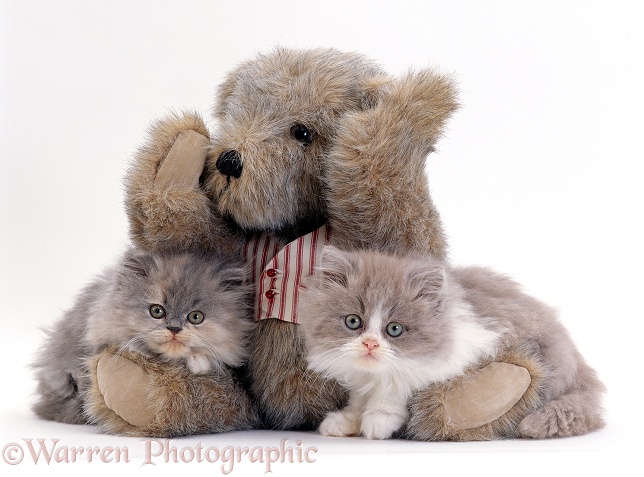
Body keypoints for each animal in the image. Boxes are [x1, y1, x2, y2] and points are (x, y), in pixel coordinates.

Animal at [300, 247, 608, 440]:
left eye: (394, 329)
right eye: (353, 322)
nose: (370, 345)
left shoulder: (461, 352)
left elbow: (396, 385)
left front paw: (379, 418)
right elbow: (359, 397)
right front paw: (347, 420)